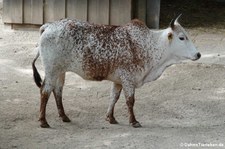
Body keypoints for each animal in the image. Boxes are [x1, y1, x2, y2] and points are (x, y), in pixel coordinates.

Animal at [31, 16, 200, 128]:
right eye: (182, 37)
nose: (198, 54)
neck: (150, 46)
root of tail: (48, 26)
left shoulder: (118, 81)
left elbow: (114, 98)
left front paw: (110, 118)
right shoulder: (128, 79)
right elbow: (130, 101)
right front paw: (133, 121)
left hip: (60, 71)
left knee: (57, 91)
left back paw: (64, 116)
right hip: (52, 70)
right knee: (45, 91)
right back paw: (43, 121)